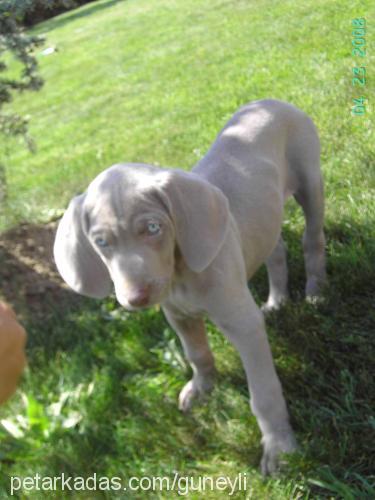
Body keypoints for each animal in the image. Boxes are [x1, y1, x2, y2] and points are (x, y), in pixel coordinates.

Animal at [53, 98, 326, 476]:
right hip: (265, 217)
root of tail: (267, 102)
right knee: (276, 251)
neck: (181, 277)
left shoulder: (243, 324)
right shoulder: (178, 315)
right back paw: (277, 301)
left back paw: (315, 292)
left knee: (312, 240)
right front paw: (202, 388)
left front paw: (280, 449)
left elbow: (263, 393)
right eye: (102, 242)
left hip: (310, 182)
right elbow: (196, 353)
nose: (136, 298)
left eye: (153, 227)